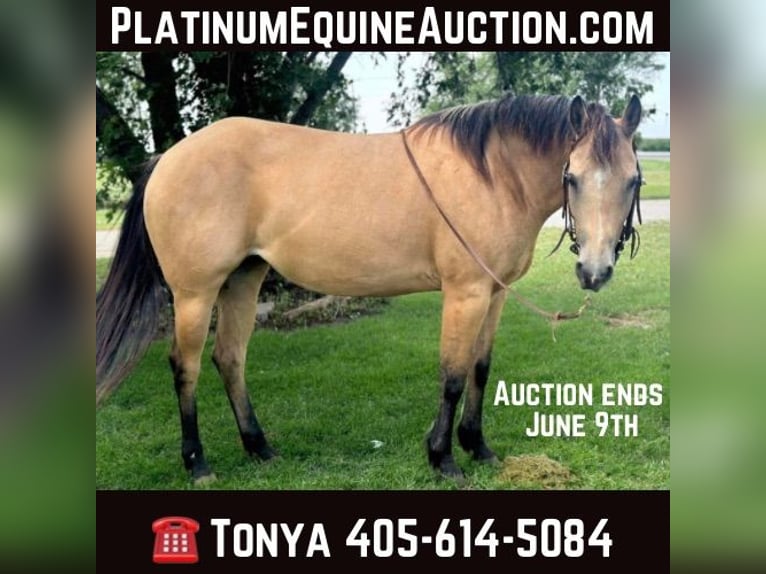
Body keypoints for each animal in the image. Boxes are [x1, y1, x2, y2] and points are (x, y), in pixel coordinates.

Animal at [96, 94, 644, 483]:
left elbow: (480, 370)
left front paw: (478, 446)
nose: (594, 272)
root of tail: (168, 158)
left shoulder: (495, 293)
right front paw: (444, 458)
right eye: (572, 177)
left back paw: (260, 448)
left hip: (243, 281)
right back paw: (198, 464)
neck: (491, 177)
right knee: (185, 367)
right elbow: (452, 374)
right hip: (194, 294)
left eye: (633, 181)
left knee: (229, 358)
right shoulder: (465, 293)